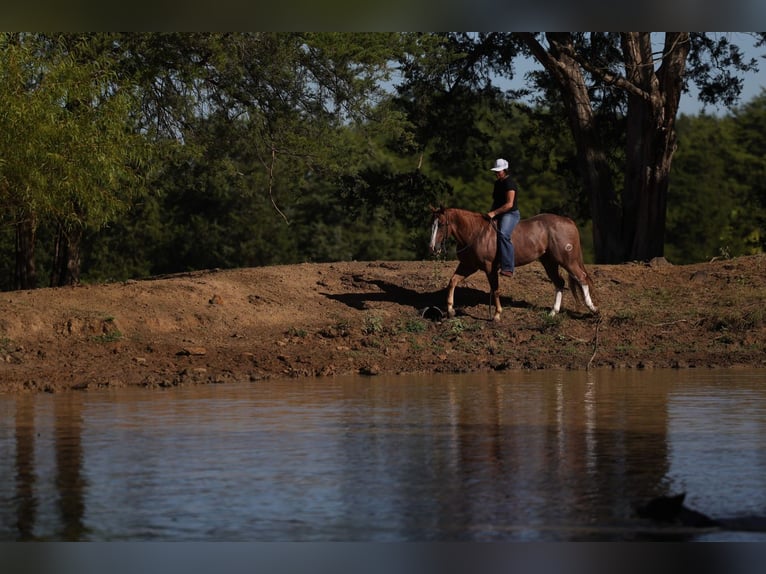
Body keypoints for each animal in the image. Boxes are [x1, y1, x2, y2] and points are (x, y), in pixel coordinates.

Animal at [429, 206, 598, 321]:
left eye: (441, 224)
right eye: (432, 224)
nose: (432, 247)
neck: (476, 233)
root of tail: (568, 221)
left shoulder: (490, 268)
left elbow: (495, 290)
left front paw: (497, 314)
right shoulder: (468, 266)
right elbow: (452, 282)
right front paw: (450, 310)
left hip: (567, 260)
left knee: (582, 278)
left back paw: (593, 309)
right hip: (549, 262)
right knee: (559, 282)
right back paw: (553, 312)